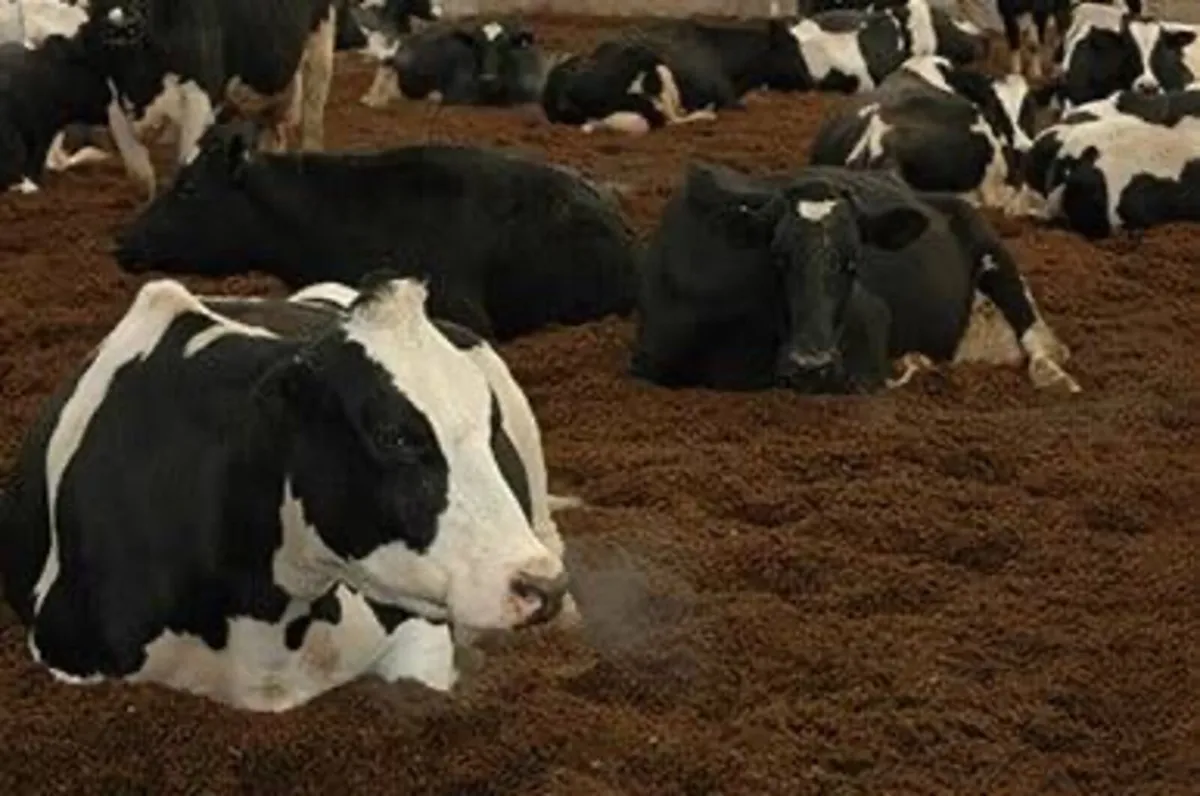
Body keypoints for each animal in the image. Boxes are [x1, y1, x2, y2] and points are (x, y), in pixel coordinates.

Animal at [75, 0, 338, 199]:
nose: (121, 24)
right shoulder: (113, 101)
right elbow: (140, 178)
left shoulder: (199, 97)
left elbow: (186, 166)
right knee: (273, 129)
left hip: (320, 41)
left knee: (312, 119)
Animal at [361, 18, 544, 109]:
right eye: (477, 45)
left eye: (505, 46)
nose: (487, 78)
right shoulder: (456, 95)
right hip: (388, 61)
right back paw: (373, 100)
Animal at [629, 162, 1079, 395]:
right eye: (778, 257)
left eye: (853, 261)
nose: (811, 365)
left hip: (993, 251)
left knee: (1034, 332)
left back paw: (1053, 374)